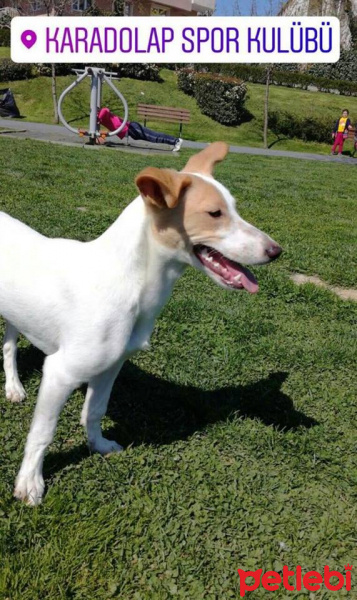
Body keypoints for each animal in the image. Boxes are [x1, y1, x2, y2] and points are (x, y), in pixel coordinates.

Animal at [0, 143, 280, 504]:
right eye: (215, 213)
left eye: (235, 208)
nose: (276, 251)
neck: (130, 281)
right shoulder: (61, 373)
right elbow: (42, 432)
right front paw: (30, 482)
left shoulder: (111, 365)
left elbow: (94, 410)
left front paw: (98, 445)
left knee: (9, 345)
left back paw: (14, 387)